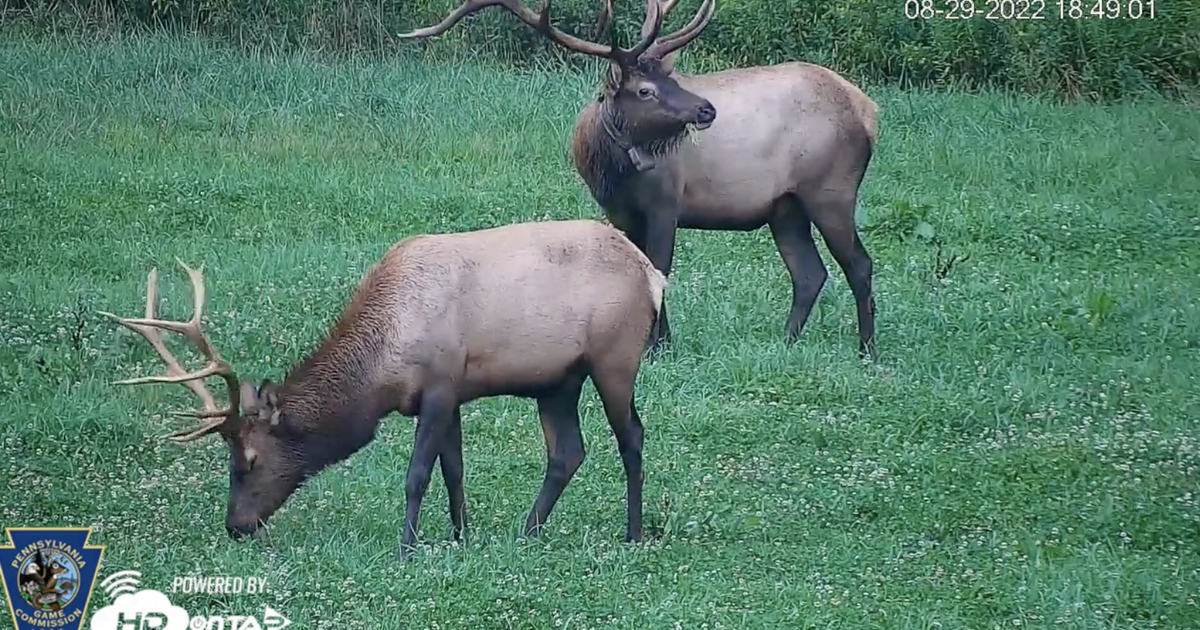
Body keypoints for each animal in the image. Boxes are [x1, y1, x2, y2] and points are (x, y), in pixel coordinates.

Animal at [99, 219, 666, 561]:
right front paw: (461, 537)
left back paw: (633, 533)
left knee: (632, 437)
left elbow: (417, 475)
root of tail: (654, 275)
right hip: (556, 380)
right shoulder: (450, 393)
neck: (382, 369)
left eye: (250, 459)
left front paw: (406, 549)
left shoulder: (438, 387)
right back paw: (527, 532)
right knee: (568, 451)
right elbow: (453, 471)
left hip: (615, 359)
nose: (235, 525)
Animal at [397, 0, 880, 359]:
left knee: (858, 263)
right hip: (785, 207)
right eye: (646, 89)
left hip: (831, 189)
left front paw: (657, 347)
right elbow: (639, 267)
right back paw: (786, 342)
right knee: (809, 273)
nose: (706, 109)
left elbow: (660, 269)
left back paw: (866, 349)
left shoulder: (667, 202)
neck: (610, 171)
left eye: (671, 76)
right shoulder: (618, 211)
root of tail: (868, 110)